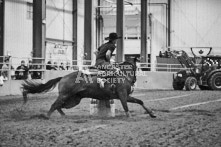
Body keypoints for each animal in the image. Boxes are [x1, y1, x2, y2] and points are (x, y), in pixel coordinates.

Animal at [21, 58, 156, 119]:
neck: (122, 75)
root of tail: (63, 77)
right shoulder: (123, 96)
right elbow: (127, 106)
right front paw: (130, 117)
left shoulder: (126, 96)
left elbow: (140, 101)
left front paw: (151, 113)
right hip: (65, 95)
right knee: (54, 105)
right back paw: (47, 116)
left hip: (74, 100)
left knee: (59, 106)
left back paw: (64, 116)